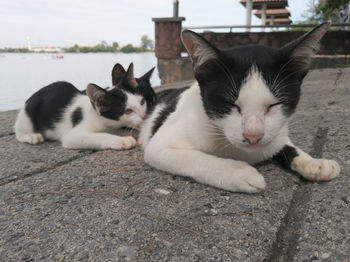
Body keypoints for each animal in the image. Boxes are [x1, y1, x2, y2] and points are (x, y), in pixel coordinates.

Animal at [15, 61, 154, 150]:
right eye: (128, 111)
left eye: (142, 102)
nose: (145, 116)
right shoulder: (72, 136)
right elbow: (98, 136)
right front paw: (121, 140)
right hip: (28, 112)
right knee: (18, 131)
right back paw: (31, 136)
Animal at [138, 22, 340, 193]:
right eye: (230, 103)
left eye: (275, 104)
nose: (253, 136)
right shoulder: (160, 146)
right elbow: (194, 157)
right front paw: (237, 172)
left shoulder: (275, 132)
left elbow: (283, 143)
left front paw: (313, 162)